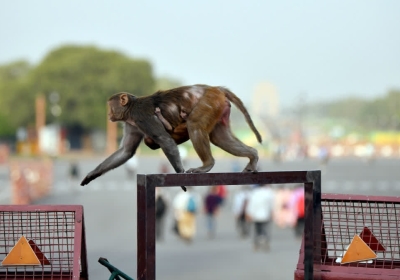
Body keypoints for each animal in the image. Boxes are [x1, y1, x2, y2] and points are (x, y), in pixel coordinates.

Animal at [81, 85, 262, 190]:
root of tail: (214, 88)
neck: (130, 110)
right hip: (218, 106)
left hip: (209, 102)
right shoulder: (132, 123)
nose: (109, 114)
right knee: (219, 138)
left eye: (110, 106)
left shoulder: (141, 117)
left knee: (194, 125)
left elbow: (165, 140)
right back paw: (252, 155)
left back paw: (207, 164)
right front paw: (91, 175)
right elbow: (126, 151)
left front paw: (181, 180)